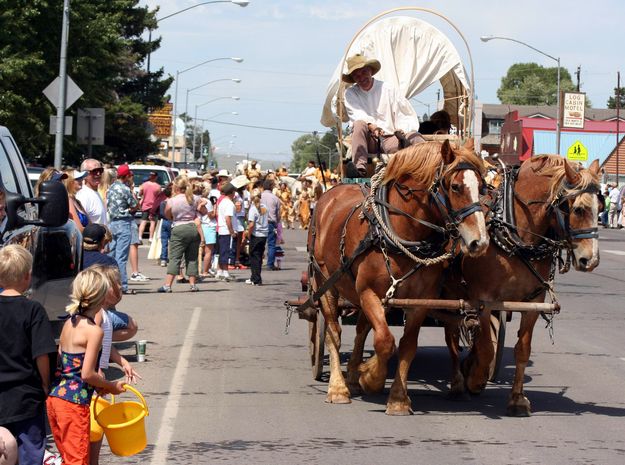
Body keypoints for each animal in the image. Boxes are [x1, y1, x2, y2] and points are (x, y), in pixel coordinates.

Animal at [310, 139, 490, 414]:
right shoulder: (369, 293)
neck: (403, 232)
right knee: (333, 331)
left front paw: (397, 398)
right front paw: (371, 377)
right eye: (455, 186)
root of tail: (329, 195)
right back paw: (339, 388)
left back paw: (352, 377)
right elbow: (385, 341)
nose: (480, 242)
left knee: (361, 330)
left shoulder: (420, 301)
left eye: (482, 187)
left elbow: (407, 346)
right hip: (326, 283)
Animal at [442, 154, 604, 416]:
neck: (517, 237)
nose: (591, 260)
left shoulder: (533, 303)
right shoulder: (485, 301)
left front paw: (517, 399)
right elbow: (486, 349)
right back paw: (458, 382)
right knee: (452, 336)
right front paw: (476, 379)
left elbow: (522, 350)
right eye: (578, 209)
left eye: (600, 207)